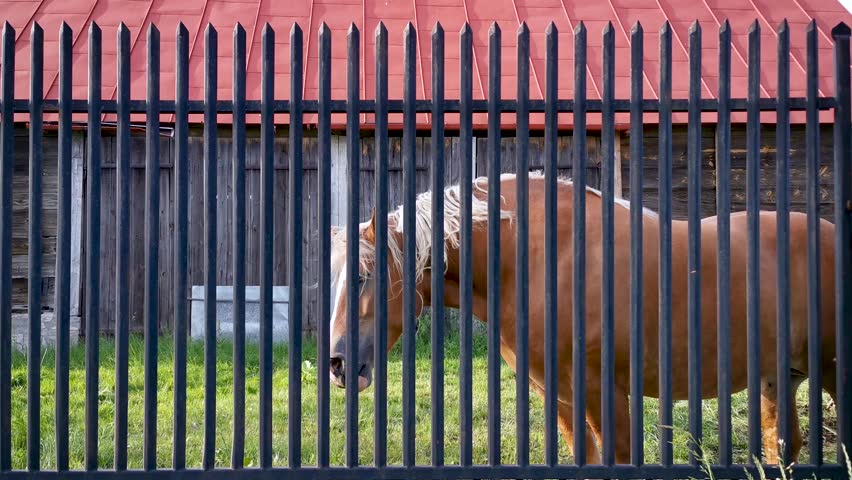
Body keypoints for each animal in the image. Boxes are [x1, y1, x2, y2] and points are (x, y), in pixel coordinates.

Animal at [326, 171, 838, 465]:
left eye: (363, 276)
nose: (337, 364)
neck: (541, 256)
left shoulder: (600, 389)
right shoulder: (563, 398)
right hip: (777, 380)